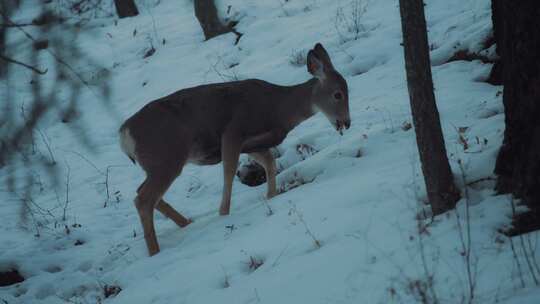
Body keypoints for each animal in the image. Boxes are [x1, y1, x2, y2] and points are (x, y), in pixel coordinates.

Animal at [118, 42, 350, 255]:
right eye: (338, 94)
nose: (347, 123)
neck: (279, 109)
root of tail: (124, 134)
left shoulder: (251, 144)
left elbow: (269, 162)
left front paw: (271, 196)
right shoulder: (233, 131)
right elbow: (230, 171)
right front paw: (223, 213)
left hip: (157, 164)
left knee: (142, 192)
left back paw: (186, 223)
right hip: (166, 158)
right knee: (143, 199)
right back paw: (155, 250)